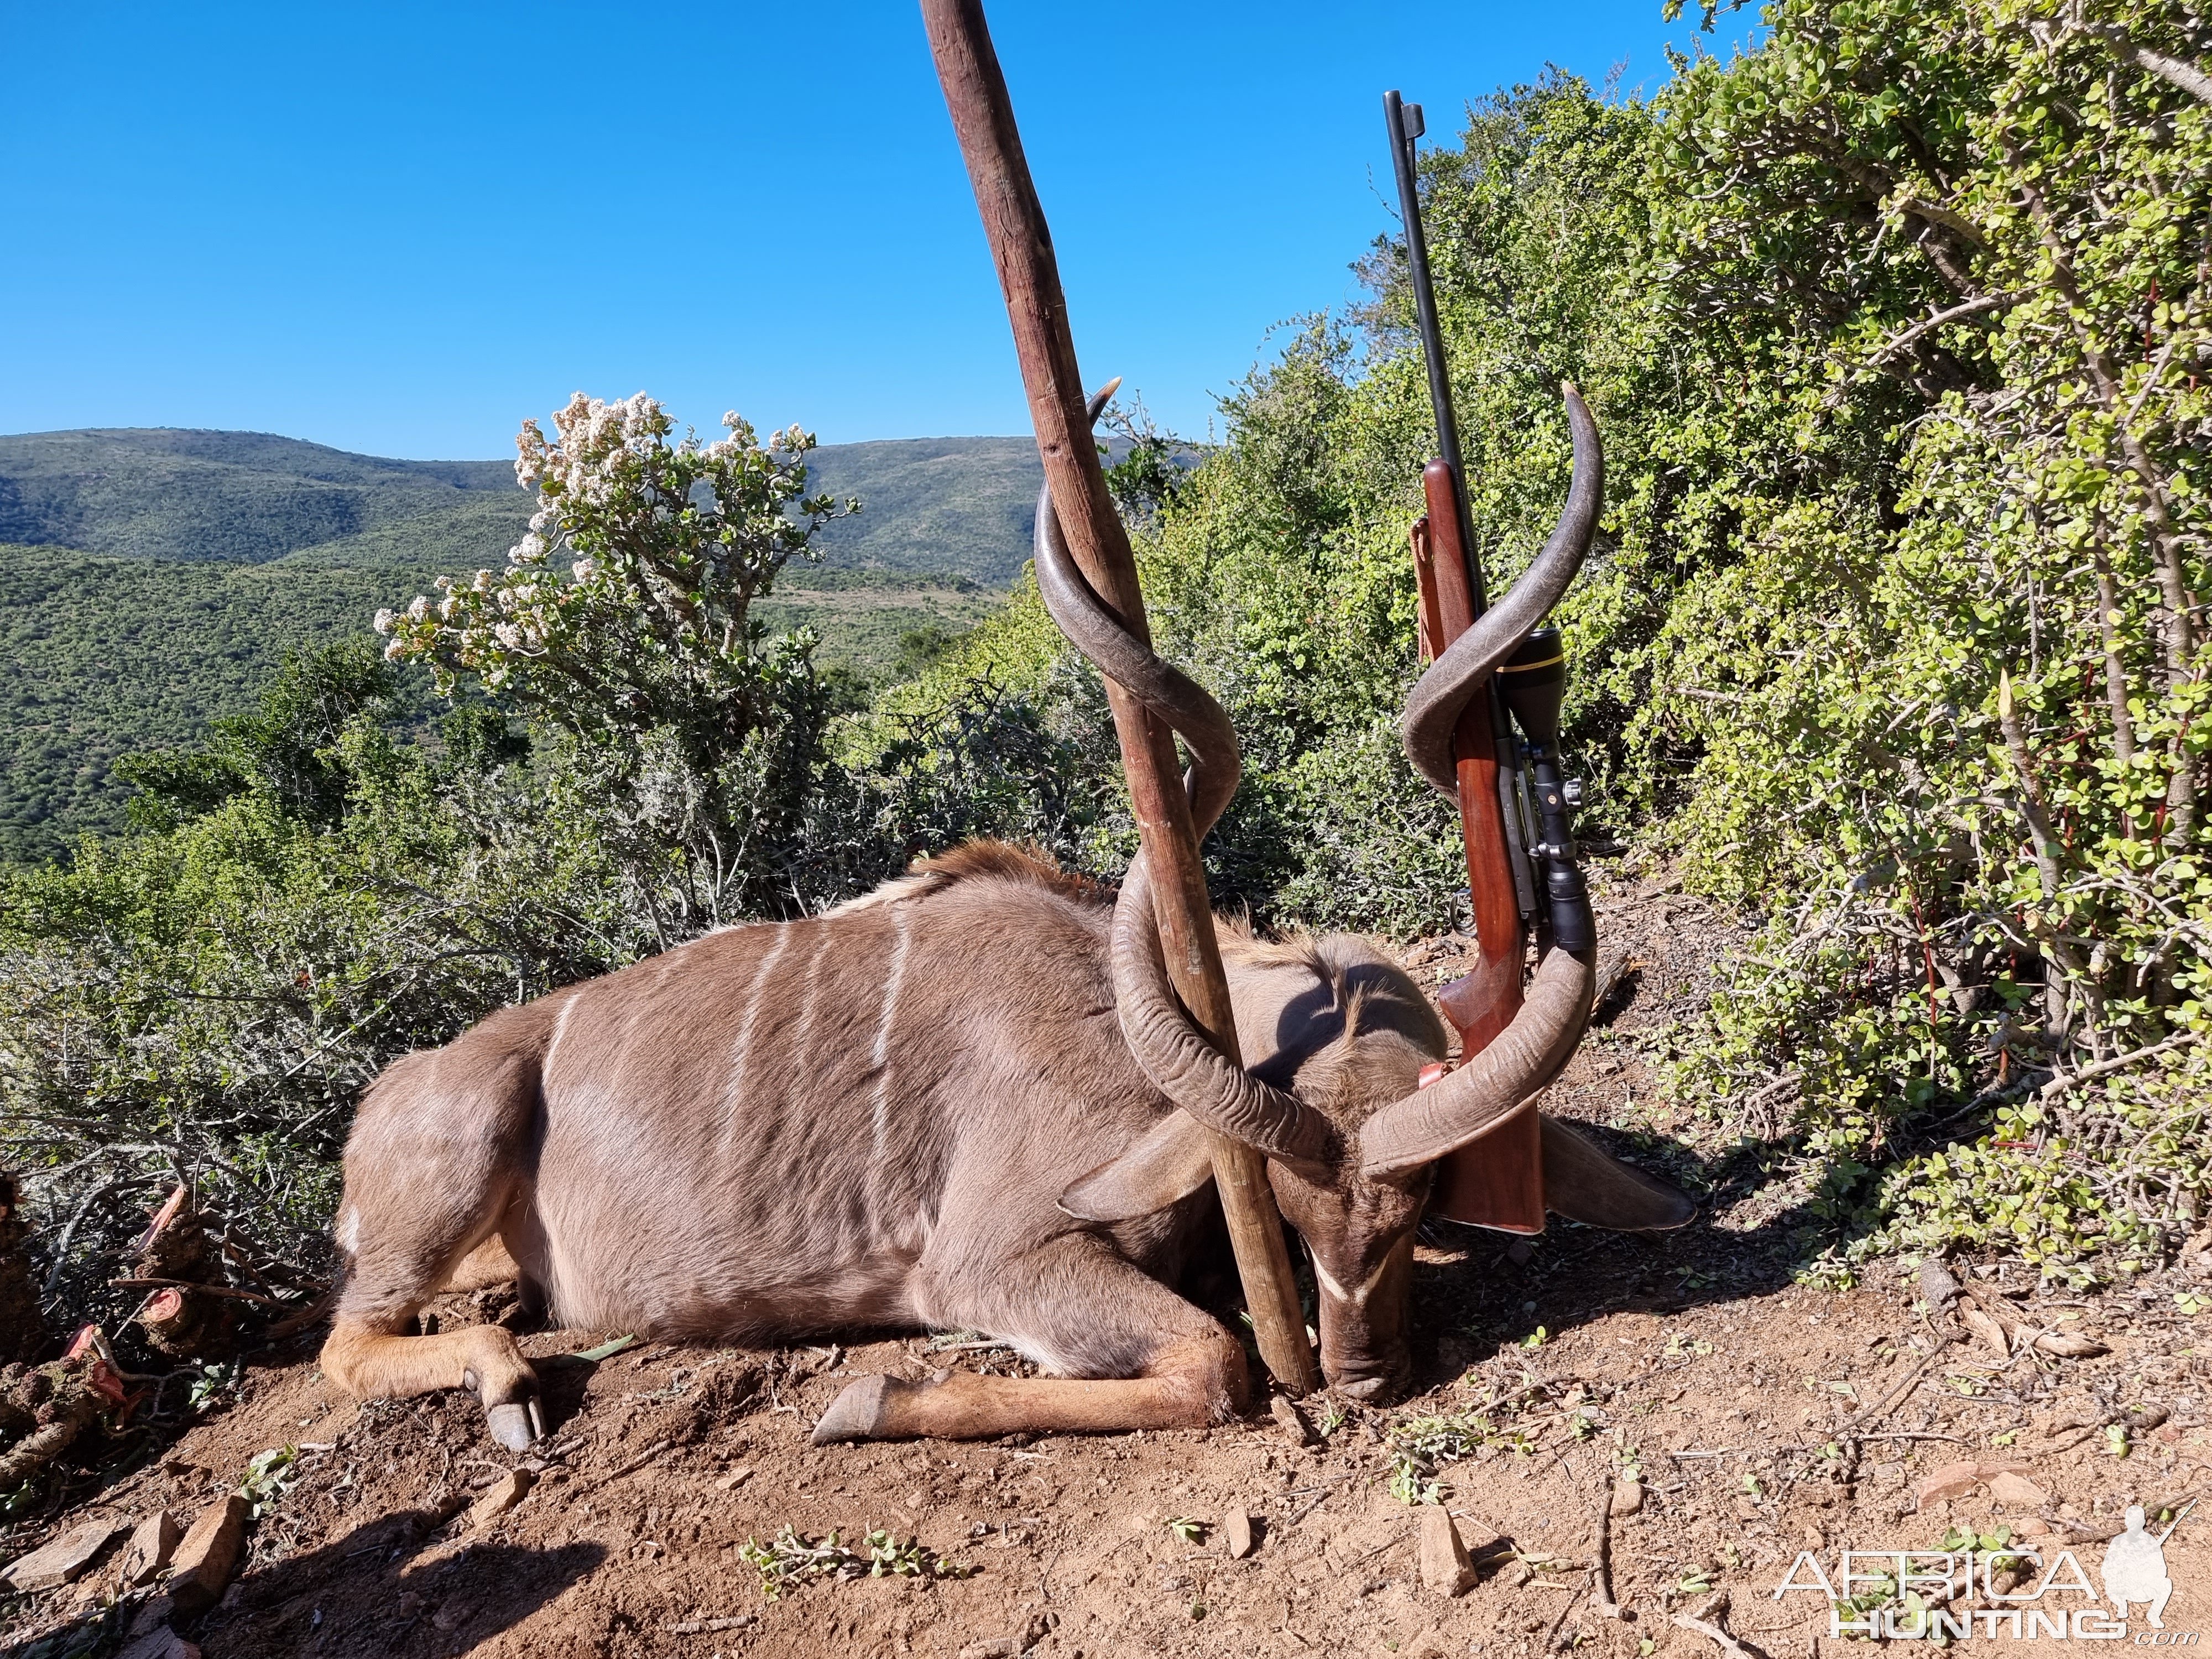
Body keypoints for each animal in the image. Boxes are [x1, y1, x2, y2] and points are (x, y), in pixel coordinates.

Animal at [321, 394, 1681, 1451]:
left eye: (1416, 1216)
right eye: (1292, 1222)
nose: (1363, 1377)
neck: (1129, 1031)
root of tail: (388, 1094)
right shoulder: (992, 1261)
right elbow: (1215, 1365)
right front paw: (864, 1401)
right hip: (457, 1154)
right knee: (351, 1338)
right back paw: (507, 1385)